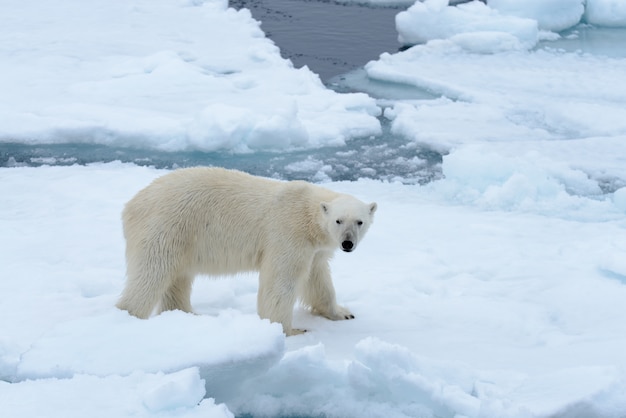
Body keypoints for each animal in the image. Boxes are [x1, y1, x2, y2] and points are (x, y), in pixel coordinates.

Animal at [117, 168, 376, 334]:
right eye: (338, 221)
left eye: (359, 221)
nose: (347, 244)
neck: (307, 213)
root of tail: (131, 204)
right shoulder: (288, 234)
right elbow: (281, 281)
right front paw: (290, 329)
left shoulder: (315, 249)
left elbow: (318, 279)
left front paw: (342, 313)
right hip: (167, 226)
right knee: (152, 274)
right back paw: (130, 315)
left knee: (177, 279)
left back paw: (187, 314)